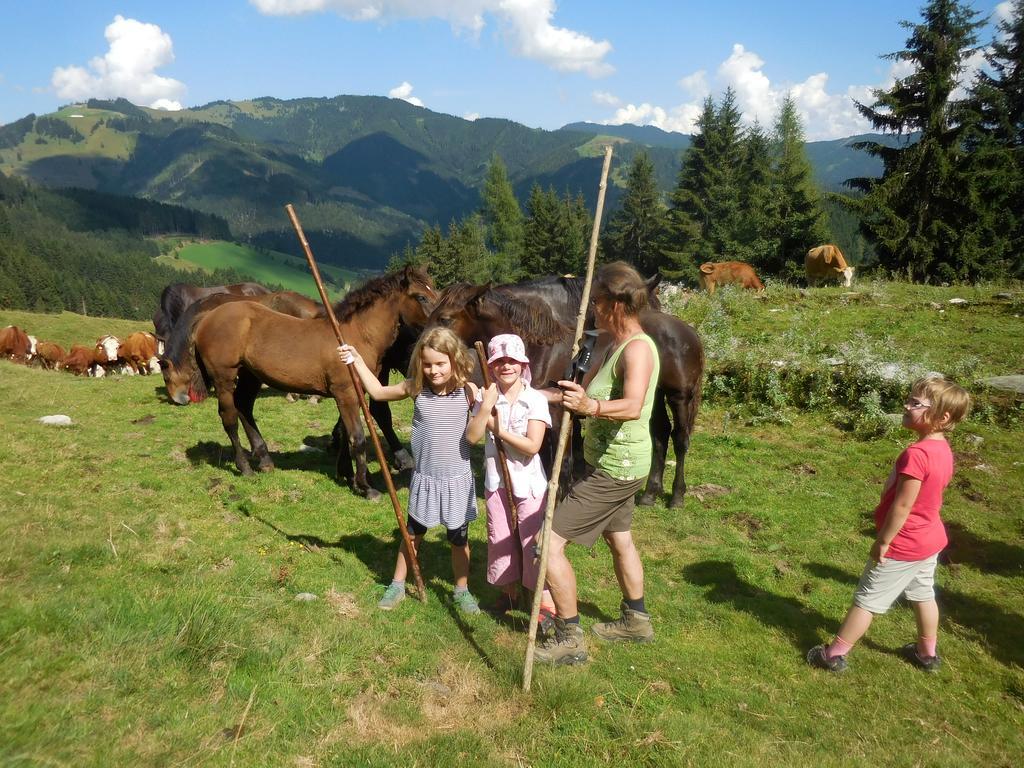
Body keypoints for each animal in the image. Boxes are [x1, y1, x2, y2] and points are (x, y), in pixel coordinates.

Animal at [192, 268, 436, 499]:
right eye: (421, 297)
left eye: (434, 290)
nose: (438, 324)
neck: (354, 336)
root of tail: (207, 318)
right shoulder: (346, 393)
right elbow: (357, 438)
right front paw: (367, 487)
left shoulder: (352, 395)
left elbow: (345, 434)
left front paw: (350, 476)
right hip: (224, 378)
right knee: (229, 418)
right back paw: (244, 467)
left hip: (251, 376)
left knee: (244, 406)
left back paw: (264, 460)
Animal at [425, 280, 704, 507]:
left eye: (446, 319)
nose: (425, 346)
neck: (541, 350)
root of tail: (688, 331)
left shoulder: (560, 413)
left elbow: (563, 462)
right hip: (654, 398)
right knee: (660, 434)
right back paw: (649, 494)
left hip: (678, 396)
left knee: (680, 439)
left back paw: (677, 495)